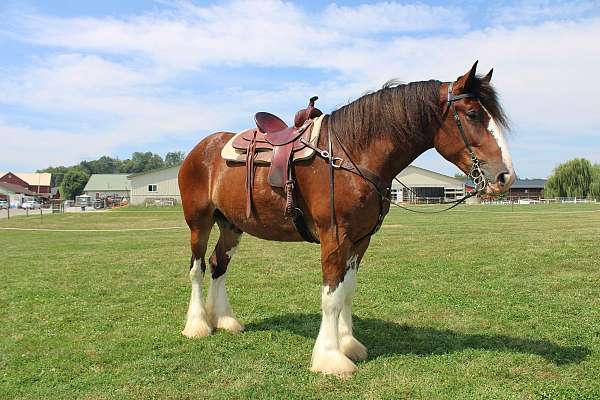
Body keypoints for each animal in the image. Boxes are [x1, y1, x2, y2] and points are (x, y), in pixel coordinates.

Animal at [177, 61, 516, 376]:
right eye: (472, 114)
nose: (505, 176)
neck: (352, 153)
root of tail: (201, 149)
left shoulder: (361, 240)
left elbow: (347, 291)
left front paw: (349, 344)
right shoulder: (335, 236)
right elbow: (331, 296)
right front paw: (330, 358)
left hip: (232, 225)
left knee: (219, 265)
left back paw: (225, 320)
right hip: (199, 222)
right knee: (198, 268)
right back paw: (197, 325)